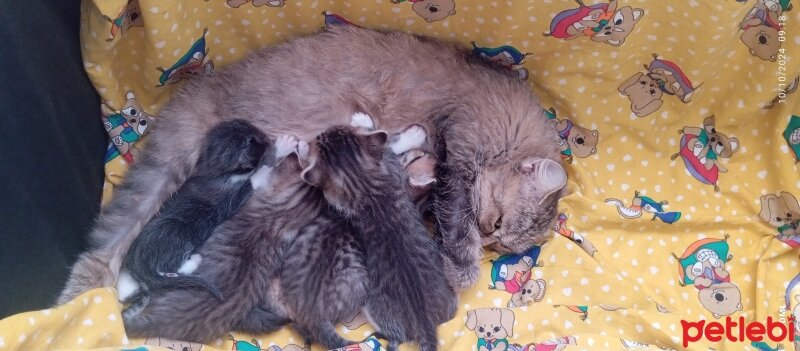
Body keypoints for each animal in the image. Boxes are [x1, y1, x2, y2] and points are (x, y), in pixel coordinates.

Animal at [57, 25, 568, 306]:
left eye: (502, 243)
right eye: (496, 227)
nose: (491, 241)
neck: (507, 114)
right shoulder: (459, 155)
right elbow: (456, 221)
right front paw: (460, 268)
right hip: (166, 168)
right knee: (105, 248)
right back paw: (78, 307)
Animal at [300, 116, 460, 351]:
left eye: (326, 134)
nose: (320, 133)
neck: (360, 182)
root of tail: (425, 323)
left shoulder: (389, 167)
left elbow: (389, 147)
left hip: (373, 307)